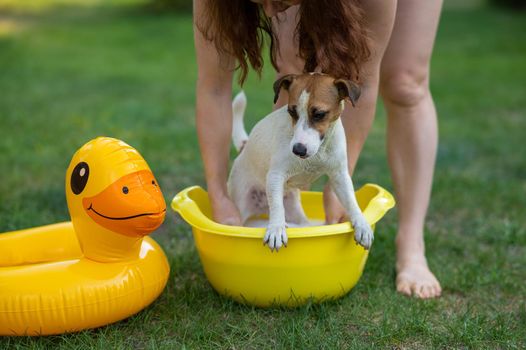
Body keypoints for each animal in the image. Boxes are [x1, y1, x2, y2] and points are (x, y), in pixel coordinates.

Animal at [229, 73, 374, 252]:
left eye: (319, 114)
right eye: (291, 111)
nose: (298, 150)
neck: (318, 152)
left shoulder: (340, 175)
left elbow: (351, 200)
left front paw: (361, 223)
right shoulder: (276, 175)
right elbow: (276, 206)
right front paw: (276, 228)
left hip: (295, 210)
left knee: (303, 223)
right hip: (241, 203)